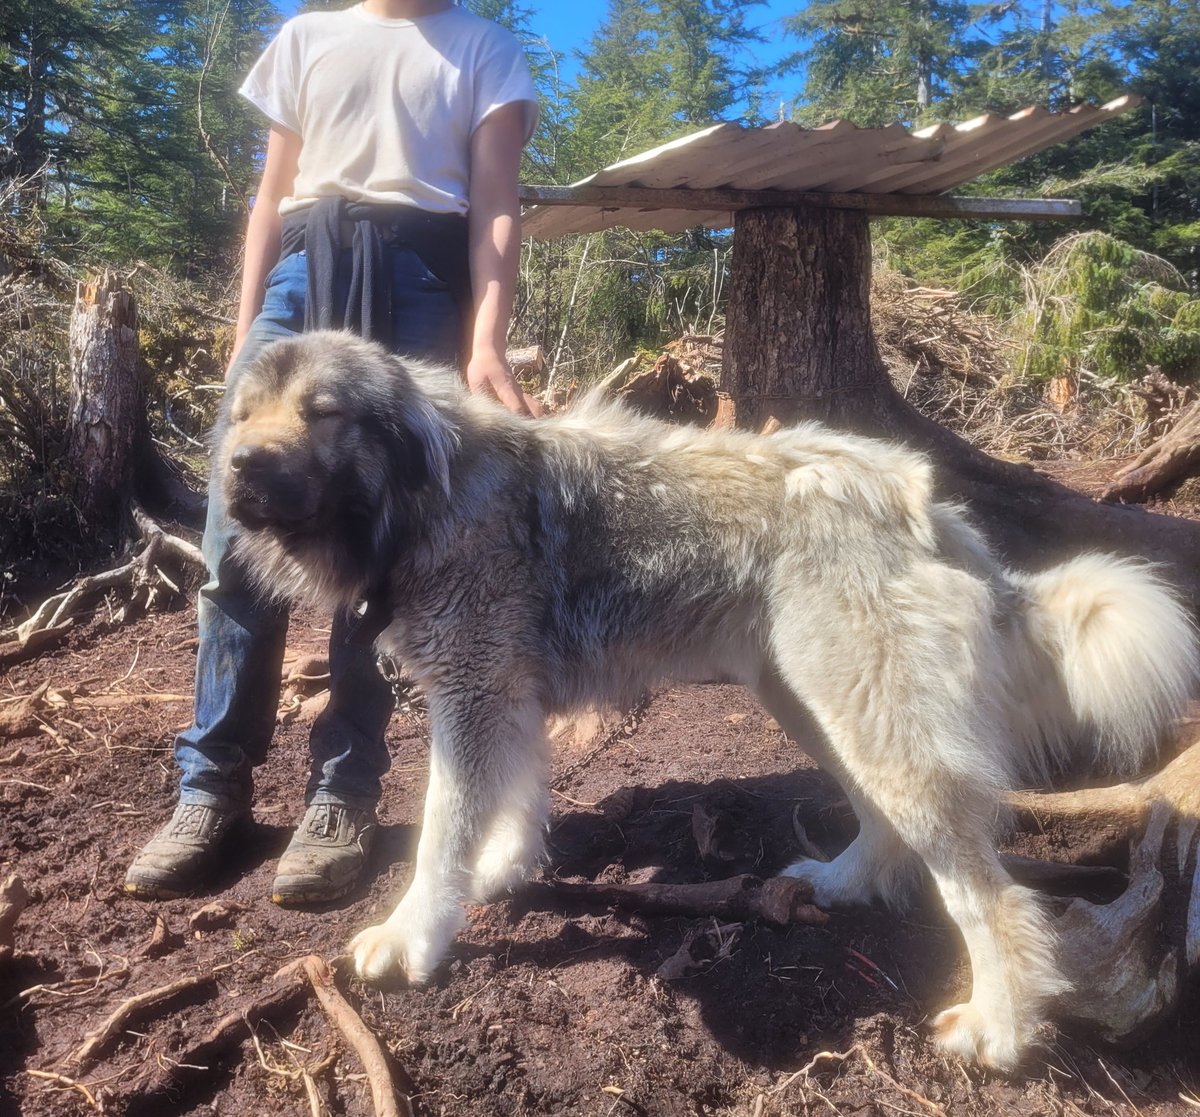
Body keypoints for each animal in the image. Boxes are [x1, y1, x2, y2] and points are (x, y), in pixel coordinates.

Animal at [220, 328, 1195, 1065]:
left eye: (322, 412)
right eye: (243, 413)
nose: (236, 468)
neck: (429, 492)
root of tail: (926, 506)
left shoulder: (473, 690)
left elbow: (438, 830)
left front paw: (415, 935)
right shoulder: (505, 695)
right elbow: (513, 801)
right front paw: (504, 869)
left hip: (865, 712)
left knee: (991, 898)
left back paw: (999, 1027)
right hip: (817, 702)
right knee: (886, 827)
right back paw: (841, 882)